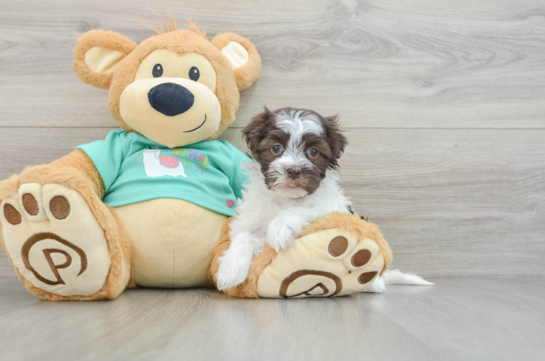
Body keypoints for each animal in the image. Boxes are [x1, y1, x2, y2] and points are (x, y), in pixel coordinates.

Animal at [215, 106, 350, 290]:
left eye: (313, 151)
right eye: (276, 148)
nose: (294, 170)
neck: (285, 197)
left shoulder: (330, 206)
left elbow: (302, 208)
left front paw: (280, 228)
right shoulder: (252, 216)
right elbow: (244, 234)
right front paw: (230, 270)